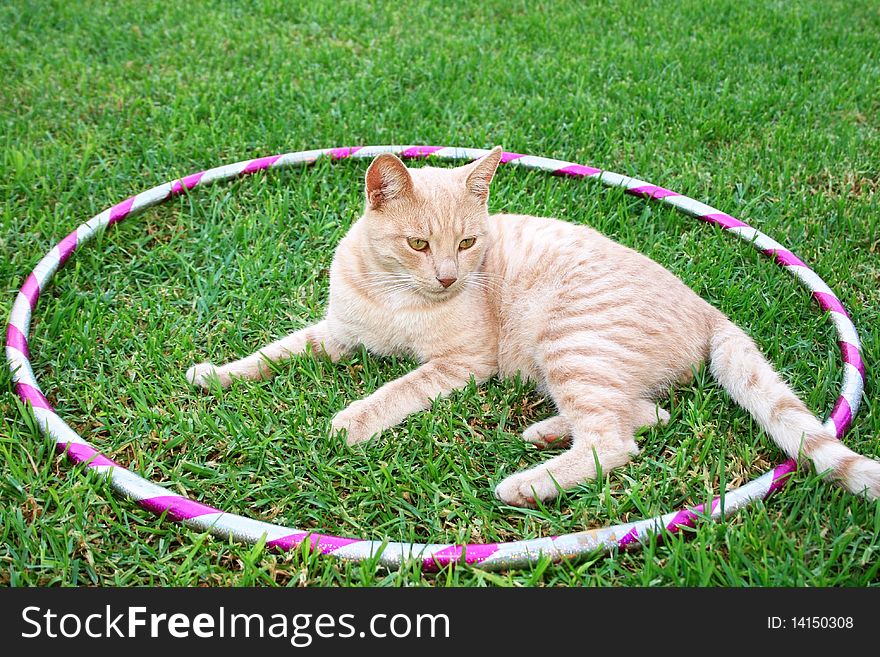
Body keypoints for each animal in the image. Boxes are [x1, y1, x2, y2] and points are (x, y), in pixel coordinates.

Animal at [182, 149, 876, 504]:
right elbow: (274, 352)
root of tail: (709, 310)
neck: (393, 295)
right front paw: (216, 374)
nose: (446, 277)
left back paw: (525, 484)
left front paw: (351, 421)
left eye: (467, 243)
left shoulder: (461, 364)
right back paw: (544, 432)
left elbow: (396, 390)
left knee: (614, 441)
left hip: (571, 344)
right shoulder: (334, 334)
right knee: (645, 415)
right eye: (417, 243)